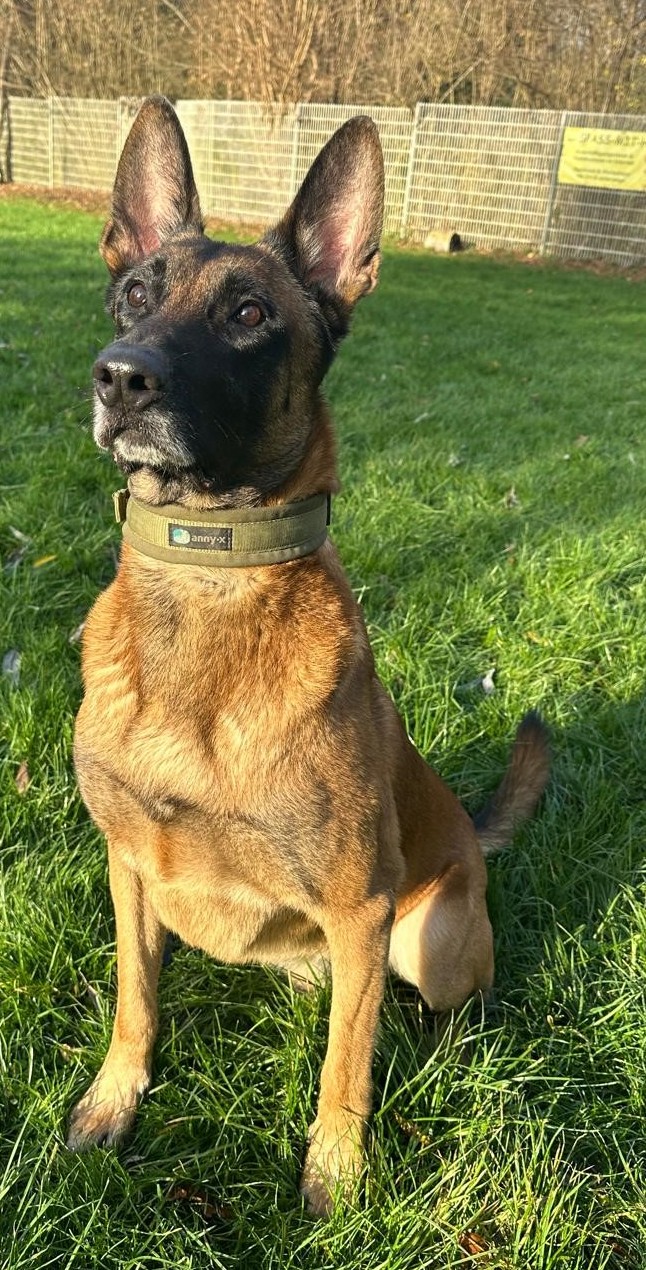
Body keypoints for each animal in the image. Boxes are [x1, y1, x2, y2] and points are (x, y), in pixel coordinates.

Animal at [67, 95, 549, 1216]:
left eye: (248, 315)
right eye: (134, 294)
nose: (122, 376)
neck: (206, 585)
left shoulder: (362, 906)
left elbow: (344, 1067)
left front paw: (336, 1173)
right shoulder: (128, 867)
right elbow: (135, 999)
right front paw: (116, 1098)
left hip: (425, 935)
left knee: (433, 1007)